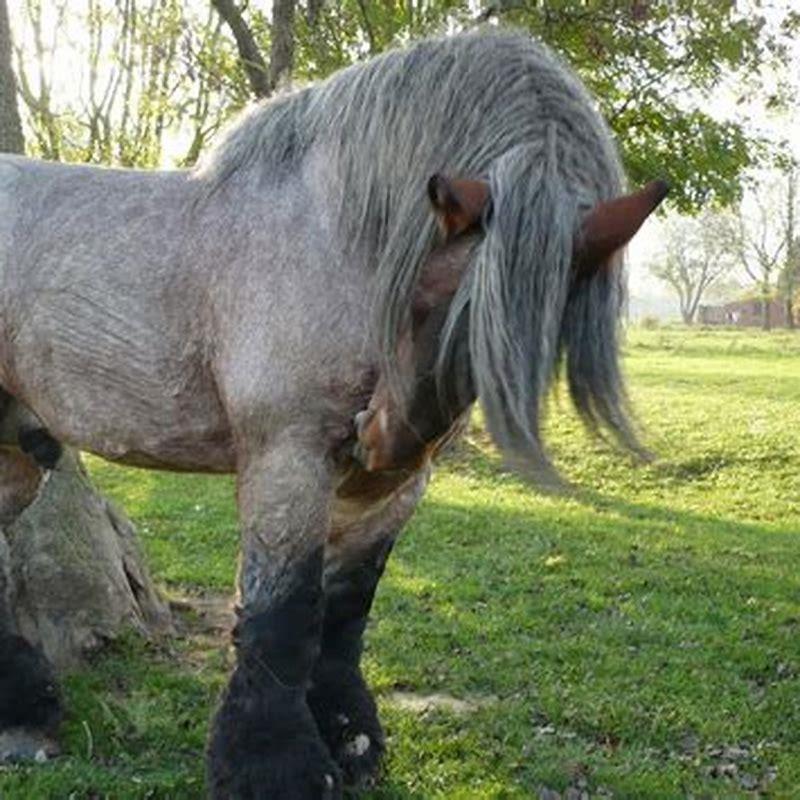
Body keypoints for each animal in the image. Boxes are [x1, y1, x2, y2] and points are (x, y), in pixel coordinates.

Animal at [0, 29, 666, 799]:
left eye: (517, 330)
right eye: (421, 297)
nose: (381, 438)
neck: (332, 239)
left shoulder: (388, 491)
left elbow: (345, 612)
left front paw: (352, 743)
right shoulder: (288, 457)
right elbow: (283, 616)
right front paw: (275, 769)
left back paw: (24, 717)